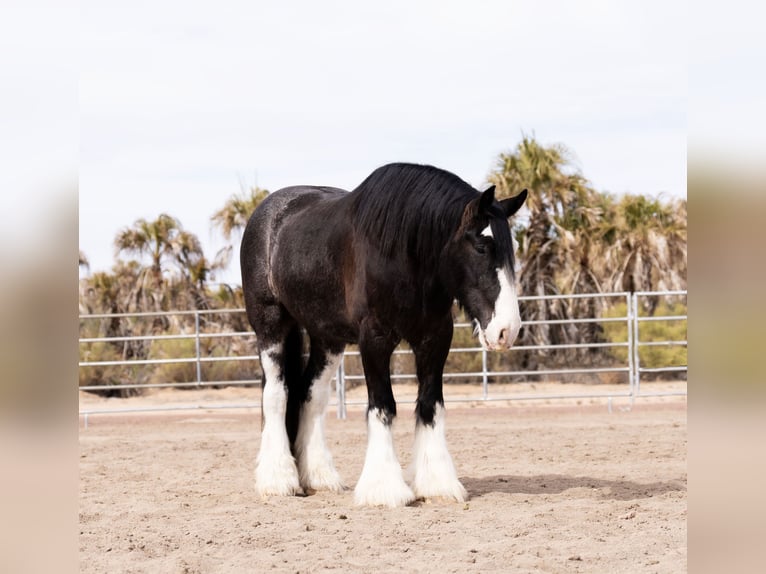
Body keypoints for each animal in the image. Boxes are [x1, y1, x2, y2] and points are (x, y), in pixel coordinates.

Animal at [243, 163, 532, 508]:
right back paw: (278, 480)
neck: (403, 253)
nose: (507, 330)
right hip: (270, 326)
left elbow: (430, 404)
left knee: (311, 396)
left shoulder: (435, 338)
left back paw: (319, 477)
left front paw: (437, 484)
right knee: (276, 394)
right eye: (481, 246)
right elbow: (383, 405)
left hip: (328, 337)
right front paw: (384, 489)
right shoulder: (374, 339)